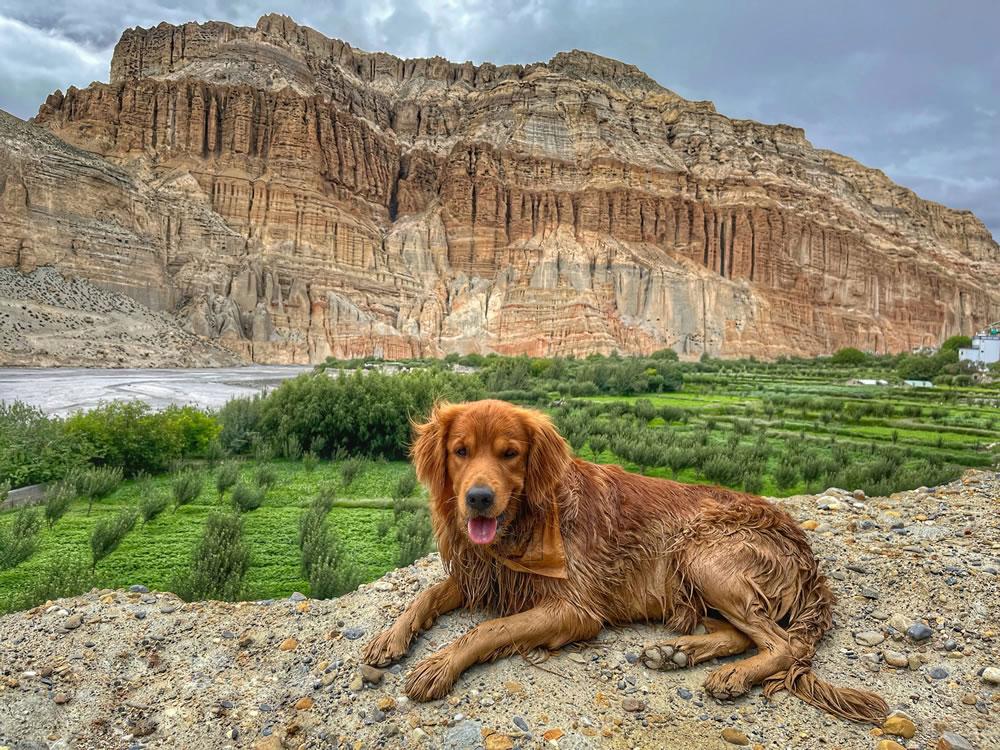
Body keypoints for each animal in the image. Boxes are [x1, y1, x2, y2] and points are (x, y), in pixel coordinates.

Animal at [364, 400, 888, 724]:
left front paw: (437, 665)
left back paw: (732, 675)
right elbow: (426, 594)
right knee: (744, 635)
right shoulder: (487, 575)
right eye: (460, 451)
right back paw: (676, 652)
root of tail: (805, 553)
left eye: (510, 454)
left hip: (701, 553)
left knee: (784, 645)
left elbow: (488, 629)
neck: (521, 526)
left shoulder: (574, 609)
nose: (477, 498)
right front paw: (389, 638)